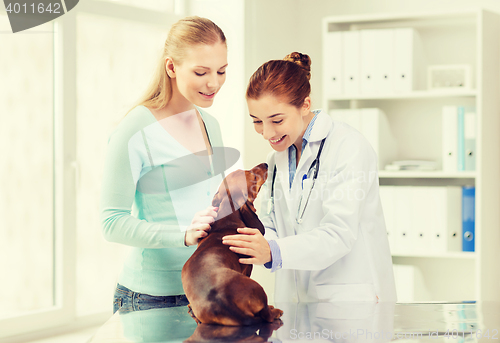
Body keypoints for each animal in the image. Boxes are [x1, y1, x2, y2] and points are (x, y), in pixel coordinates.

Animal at [182, 163, 284, 326]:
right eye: (253, 176)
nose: (266, 164)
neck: (227, 220)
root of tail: (223, 302)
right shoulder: (248, 268)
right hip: (259, 288)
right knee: (266, 314)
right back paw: (274, 311)